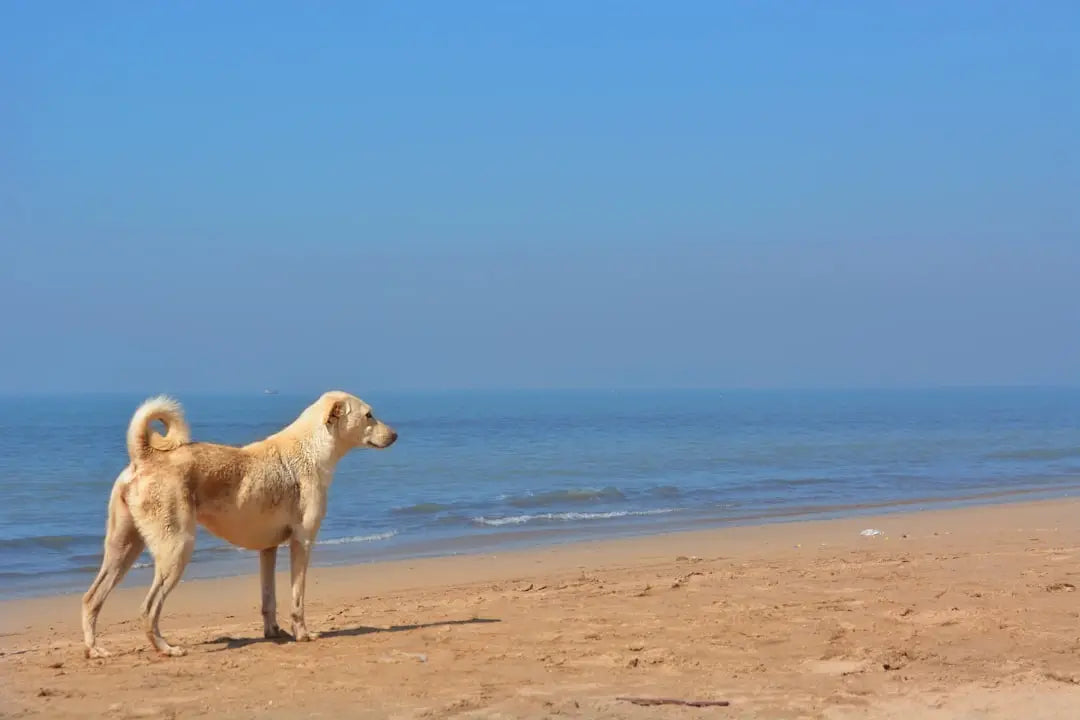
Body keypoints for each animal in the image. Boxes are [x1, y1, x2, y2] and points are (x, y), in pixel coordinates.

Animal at [81, 390, 397, 656]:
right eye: (369, 414)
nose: (395, 435)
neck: (311, 448)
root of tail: (144, 457)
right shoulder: (302, 542)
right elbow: (297, 600)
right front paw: (302, 634)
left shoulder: (268, 550)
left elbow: (269, 600)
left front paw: (274, 633)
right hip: (176, 549)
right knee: (148, 609)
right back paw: (166, 648)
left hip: (122, 550)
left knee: (90, 599)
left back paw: (95, 650)